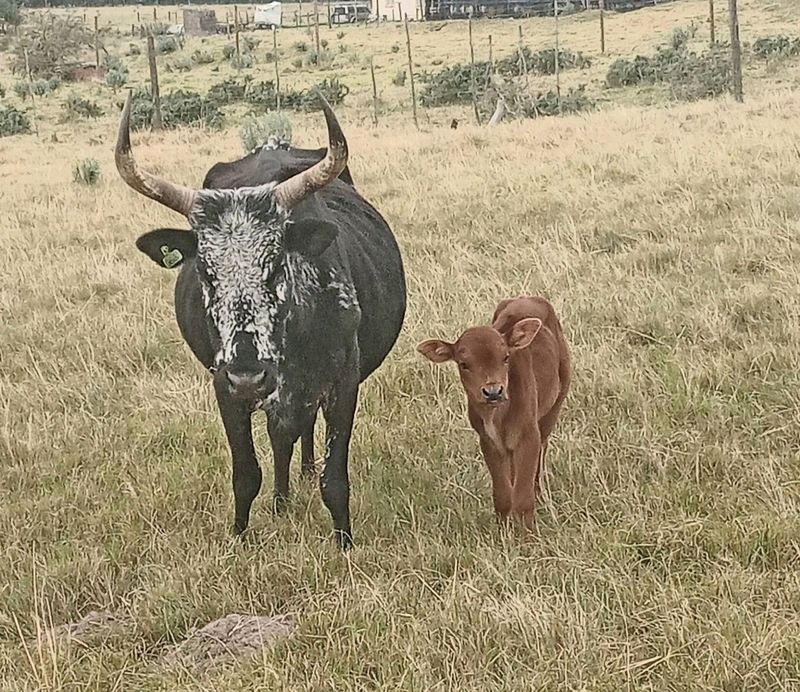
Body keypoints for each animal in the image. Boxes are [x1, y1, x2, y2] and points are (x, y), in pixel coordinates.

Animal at [115, 92, 406, 548]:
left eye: (274, 266)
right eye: (205, 272)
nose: (249, 376)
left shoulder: (343, 383)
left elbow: (334, 478)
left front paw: (344, 543)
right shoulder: (224, 386)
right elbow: (246, 472)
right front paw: (239, 536)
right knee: (281, 438)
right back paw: (282, 499)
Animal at [416, 294, 572, 528]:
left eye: (506, 357)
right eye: (463, 364)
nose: (493, 391)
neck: (498, 416)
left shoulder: (529, 436)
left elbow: (523, 499)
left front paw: (528, 535)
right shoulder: (487, 440)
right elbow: (503, 496)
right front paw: (502, 530)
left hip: (554, 406)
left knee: (541, 456)